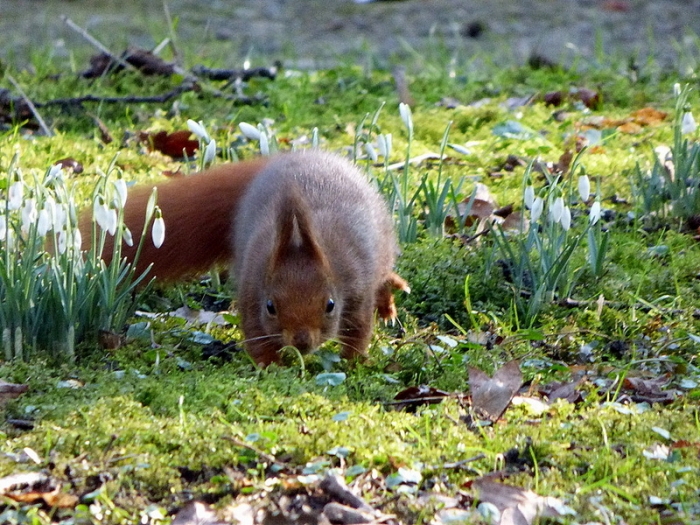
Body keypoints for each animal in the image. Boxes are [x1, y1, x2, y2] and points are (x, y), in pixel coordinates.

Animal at [94, 151, 409, 366]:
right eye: (271, 307)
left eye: (330, 305)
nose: (302, 342)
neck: (298, 238)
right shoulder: (252, 289)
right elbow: (256, 334)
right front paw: (271, 365)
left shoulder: (356, 286)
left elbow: (358, 329)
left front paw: (352, 361)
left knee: (383, 275)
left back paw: (388, 302)